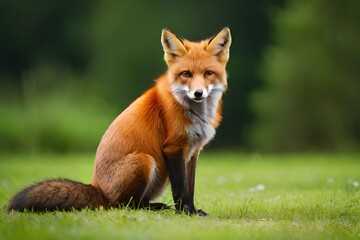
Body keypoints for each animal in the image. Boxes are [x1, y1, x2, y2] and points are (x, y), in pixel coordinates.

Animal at [9, 27, 233, 216]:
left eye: (208, 73)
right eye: (186, 74)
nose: (198, 93)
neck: (195, 112)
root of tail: (97, 188)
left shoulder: (193, 152)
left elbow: (190, 188)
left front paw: (193, 211)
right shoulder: (174, 147)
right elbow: (180, 189)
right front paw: (185, 213)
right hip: (144, 161)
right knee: (123, 205)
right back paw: (152, 208)